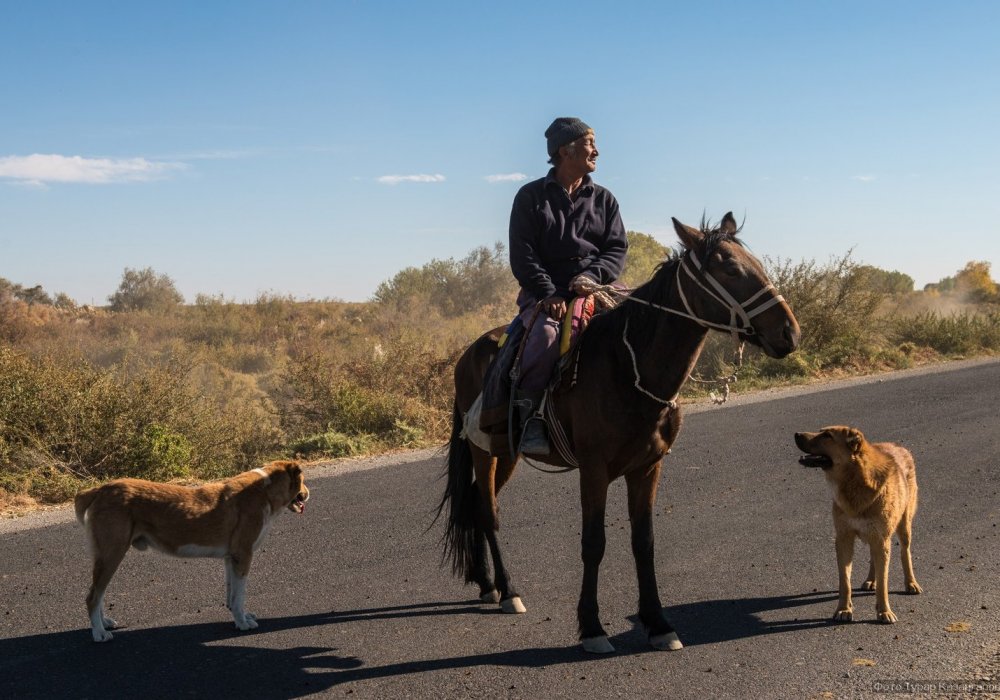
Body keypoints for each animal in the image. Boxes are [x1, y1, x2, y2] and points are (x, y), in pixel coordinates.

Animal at [75, 462, 308, 644]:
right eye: (303, 480)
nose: (307, 494)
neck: (264, 491)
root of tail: (99, 490)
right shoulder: (243, 556)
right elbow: (240, 596)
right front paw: (242, 623)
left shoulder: (231, 558)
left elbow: (232, 595)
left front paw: (237, 616)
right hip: (112, 554)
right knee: (93, 596)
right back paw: (99, 633)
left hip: (106, 557)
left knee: (98, 592)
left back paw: (104, 623)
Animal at [442, 211, 800, 652]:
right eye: (730, 269)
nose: (789, 333)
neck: (627, 366)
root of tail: (467, 354)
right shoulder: (594, 471)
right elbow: (594, 543)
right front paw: (592, 627)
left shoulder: (647, 467)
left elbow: (644, 543)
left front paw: (658, 623)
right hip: (486, 451)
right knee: (489, 512)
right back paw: (509, 591)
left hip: (506, 453)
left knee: (477, 504)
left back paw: (488, 585)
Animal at [796, 426, 920, 624]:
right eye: (821, 431)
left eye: (827, 435)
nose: (796, 435)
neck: (855, 480)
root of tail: (898, 446)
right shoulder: (844, 539)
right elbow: (845, 581)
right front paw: (843, 609)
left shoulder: (881, 538)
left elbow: (883, 583)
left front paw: (884, 611)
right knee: (873, 558)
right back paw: (871, 580)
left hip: (903, 527)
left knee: (904, 552)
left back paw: (911, 583)